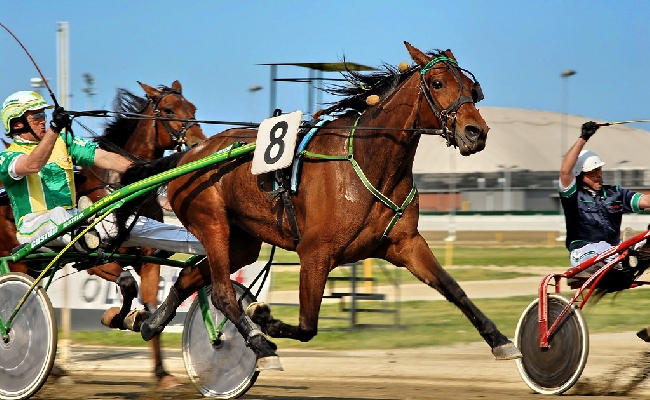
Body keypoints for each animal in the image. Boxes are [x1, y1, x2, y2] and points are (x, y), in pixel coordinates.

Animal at [2, 79, 205, 390]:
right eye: (169, 110)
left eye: (193, 109)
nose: (197, 142)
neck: (119, 188)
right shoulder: (92, 259)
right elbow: (127, 285)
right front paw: (117, 318)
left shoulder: (147, 259)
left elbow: (151, 302)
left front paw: (162, 372)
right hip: (17, 260)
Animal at [128, 42, 520, 370]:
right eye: (437, 83)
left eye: (471, 88)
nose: (475, 132)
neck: (369, 160)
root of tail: (189, 154)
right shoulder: (316, 252)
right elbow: (307, 326)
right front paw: (264, 318)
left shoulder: (406, 243)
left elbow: (454, 289)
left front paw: (500, 340)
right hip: (212, 224)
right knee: (224, 294)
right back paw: (258, 343)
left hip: (241, 241)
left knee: (189, 276)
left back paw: (149, 322)